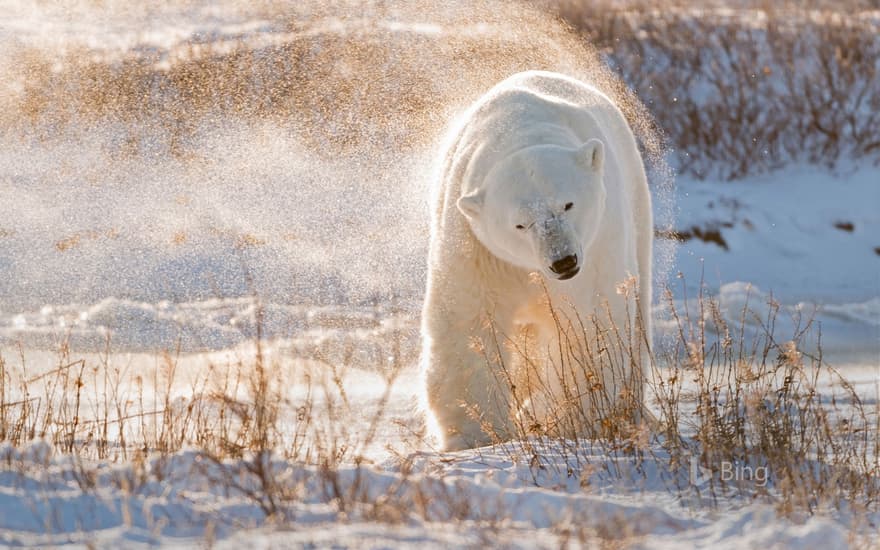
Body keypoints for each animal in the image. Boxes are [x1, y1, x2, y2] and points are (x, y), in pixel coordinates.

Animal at [420, 71, 652, 452]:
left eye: (568, 204)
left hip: (636, 206)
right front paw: (475, 433)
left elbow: (588, 322)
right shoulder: (477, 247)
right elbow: (470, 323)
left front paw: (569, 418)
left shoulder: (599, 241)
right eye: (519, 224)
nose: (563, 262)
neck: (520, 130)